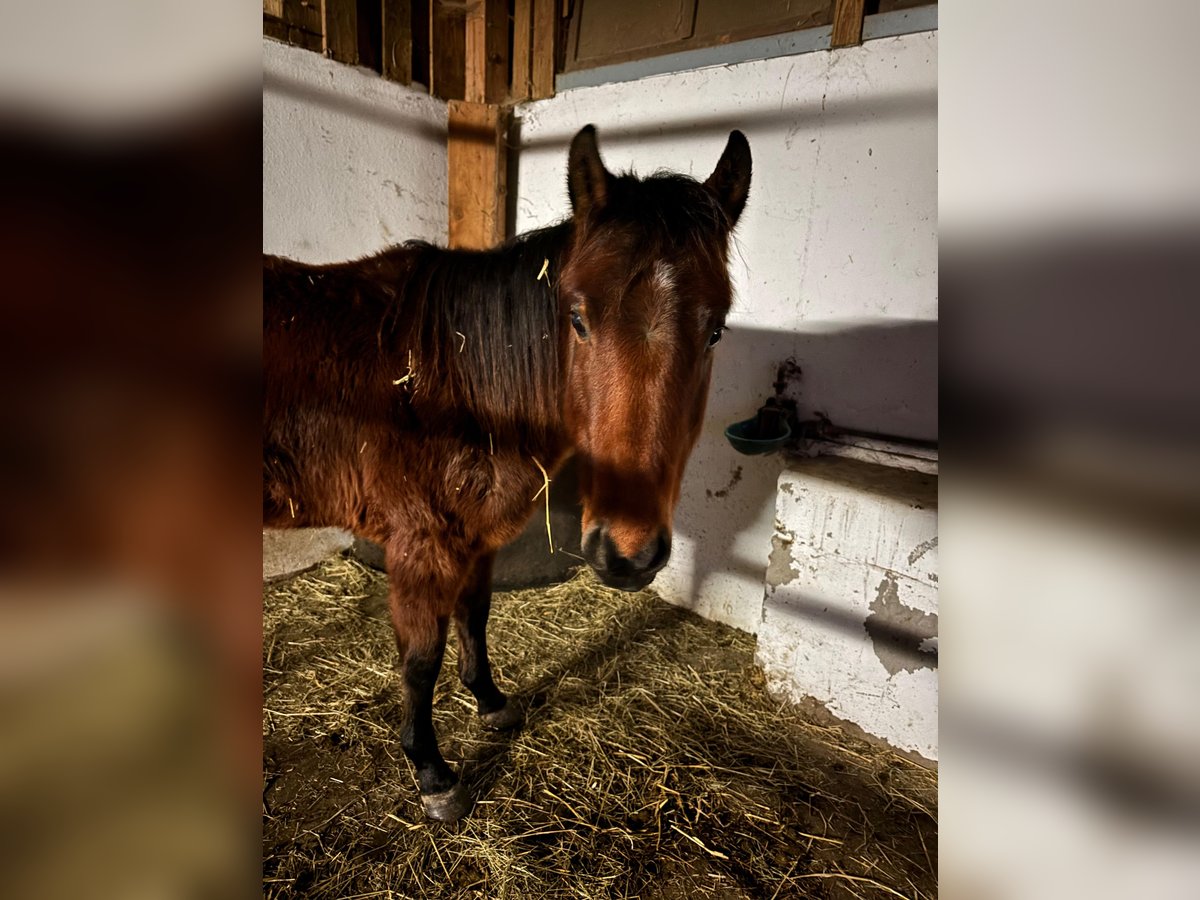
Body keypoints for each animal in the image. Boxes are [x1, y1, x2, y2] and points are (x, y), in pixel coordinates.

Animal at [262, 127, 748, 825]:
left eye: (715, 331)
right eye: (577, 318)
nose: (627, 553)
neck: (456, 380)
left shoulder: (476, 540)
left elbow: (475, 617)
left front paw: (490, 702)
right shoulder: (422, 547)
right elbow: (421, 660)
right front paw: (433, 772)